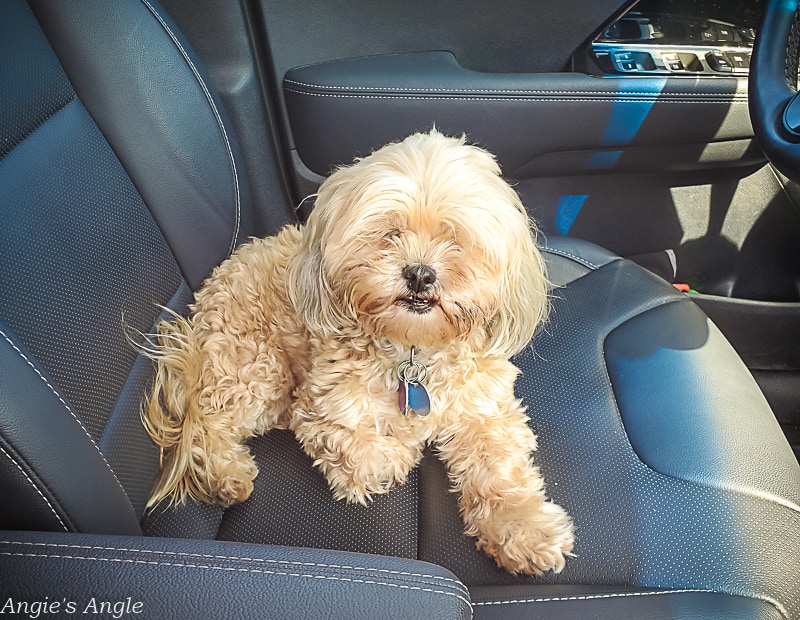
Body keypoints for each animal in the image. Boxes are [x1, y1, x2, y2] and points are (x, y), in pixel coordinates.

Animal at [142, 128, 576, 572]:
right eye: (389, 233)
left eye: (454, 239)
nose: (420, 274)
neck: (414, 348)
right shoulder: (322, 409)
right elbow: (369, 457)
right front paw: (406, 444)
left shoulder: (486, 411)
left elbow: (501, 467)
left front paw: (525, 529)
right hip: (257, 369)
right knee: (207, 422)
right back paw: (225, 474)